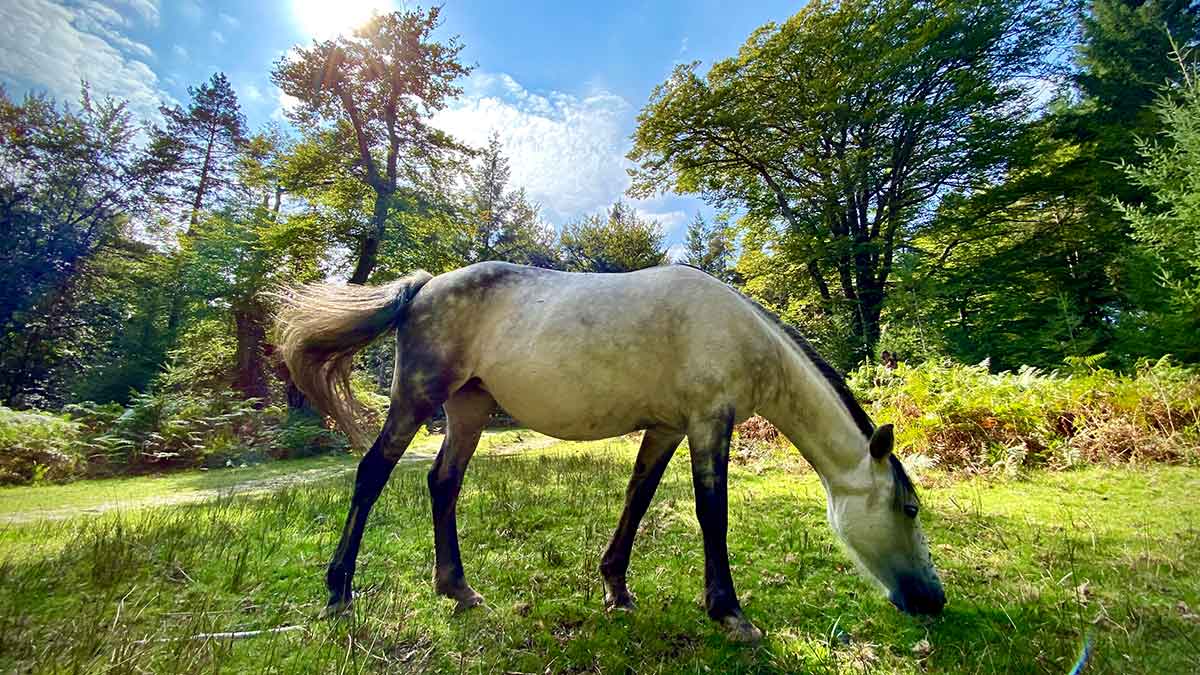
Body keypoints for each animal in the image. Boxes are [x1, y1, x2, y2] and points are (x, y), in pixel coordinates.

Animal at [274, 261, 945, 642]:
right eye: (909, 509)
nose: (933, 600)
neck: (739, 333)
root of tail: (422, 287)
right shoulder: (709, 421)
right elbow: (713, 514)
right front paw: (730, 615)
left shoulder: (668, 428)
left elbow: (638, 498)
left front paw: (615, 589)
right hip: (418, 398)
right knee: (372, 474)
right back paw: (338, 594)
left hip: (468, 408)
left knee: (444, 482)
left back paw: (457, 589)